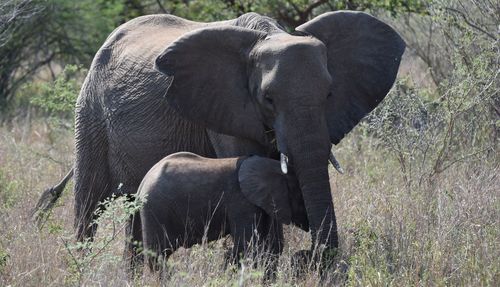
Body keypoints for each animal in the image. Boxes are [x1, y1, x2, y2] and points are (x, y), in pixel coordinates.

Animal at [35, 10, 404, 258]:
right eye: (268, 98)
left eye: (329, 94)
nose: (309, 256)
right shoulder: (225, 108)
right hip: (90, 111)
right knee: (89, 204)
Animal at [134, 152, 308, 274]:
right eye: (301, 198)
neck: (272, 166)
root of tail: (142, 182)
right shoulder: (241, 201)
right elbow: (246, 246)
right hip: (155, 209)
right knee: (157, 256)